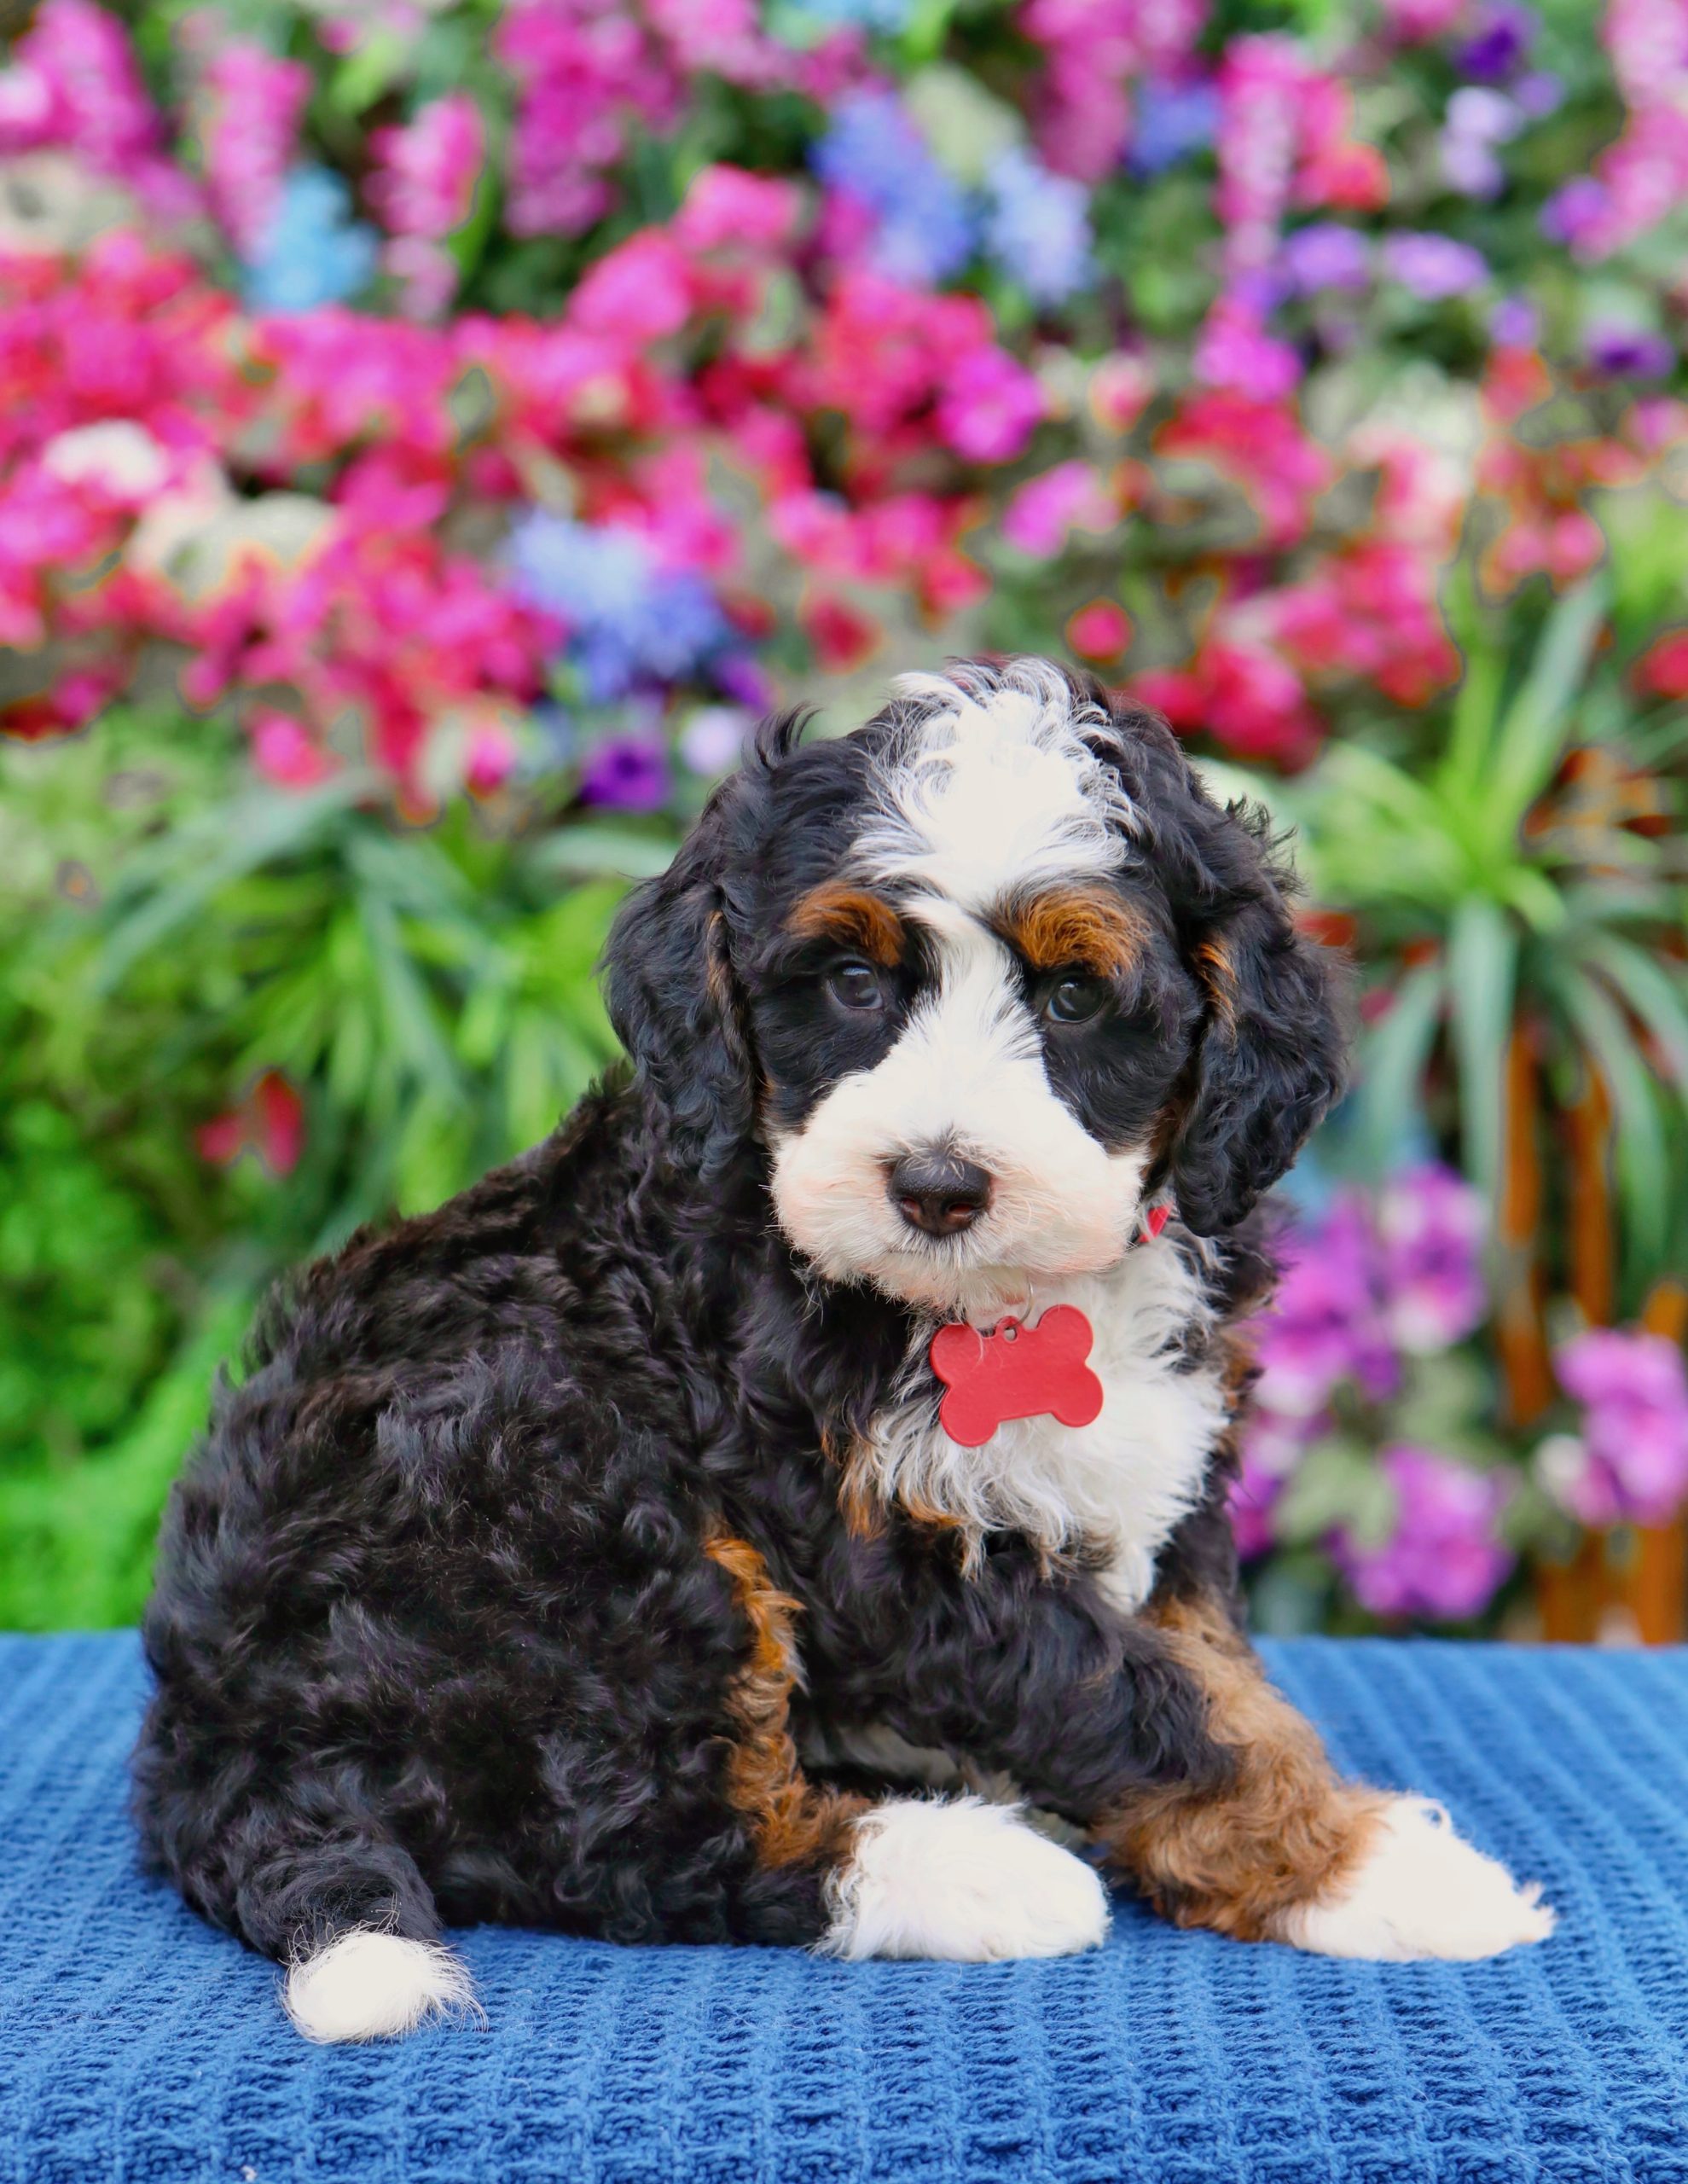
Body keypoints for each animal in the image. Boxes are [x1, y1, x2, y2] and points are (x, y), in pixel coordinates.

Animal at [134, 658, 1553, 2042]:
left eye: (1074, 996)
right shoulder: (874, 1543)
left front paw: (1323, 1846)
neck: (998, 1307)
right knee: (645, 1841)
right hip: (566, 1491)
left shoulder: (1171, 1468)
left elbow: (1210, 1673)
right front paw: (1366, 1869)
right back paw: (962, 1867)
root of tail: (211, 1739)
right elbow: (1147, 1705)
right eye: (853, 985)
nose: (934, 1184)